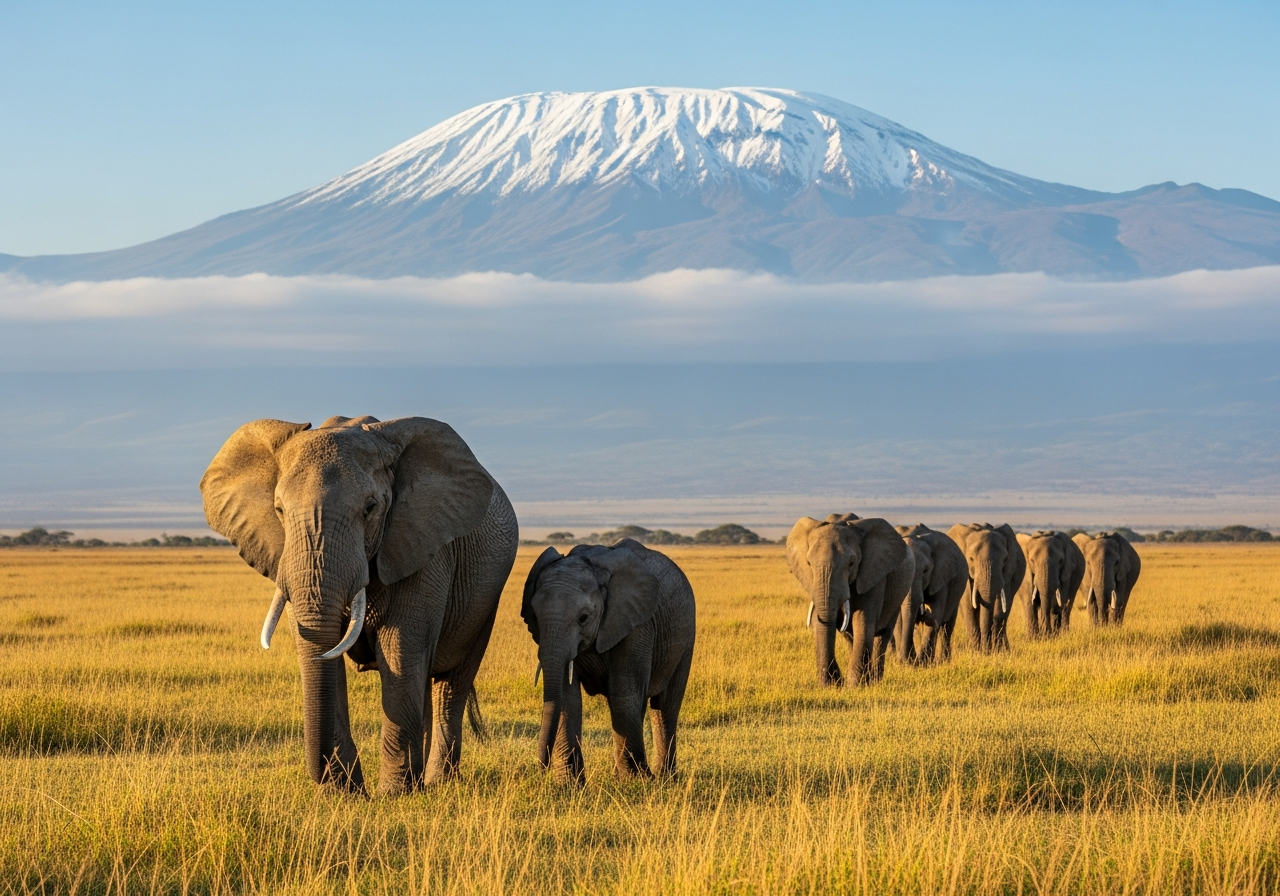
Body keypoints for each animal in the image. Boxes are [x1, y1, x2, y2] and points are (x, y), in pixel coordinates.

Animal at [200, 415, 518, 795]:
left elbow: (400, 651)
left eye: (370, 508)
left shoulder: (422, 546)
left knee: (450, 685)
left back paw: (437, 784)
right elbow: (323, 658)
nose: (327, 779)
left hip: (485, 600)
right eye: (278, 510)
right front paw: (341, 794)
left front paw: (393, 795)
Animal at [521, 538, 696, 784]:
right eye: (534, 616)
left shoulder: (637, 625)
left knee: (665, 706)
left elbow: (624, 693)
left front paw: (637, 783)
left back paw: (664, 779)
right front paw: (568, 786)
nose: (541, 769)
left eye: (583, 618)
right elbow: (568, 697)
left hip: (686, 634)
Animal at [787, 514, 912, 686]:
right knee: (849, 636)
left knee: (882, 635)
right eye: (809, 563)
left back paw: (874, 681)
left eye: (851, 563)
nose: (833, 681)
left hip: (898, 595)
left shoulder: (873, 575)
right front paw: (837, 685)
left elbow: (863, 622)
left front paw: (855, 685)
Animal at [892, 524, 969, 664]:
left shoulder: (940, 577)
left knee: (947, 627)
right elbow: (898, 620)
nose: (923, 613)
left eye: (925, 571)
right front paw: (906, 663)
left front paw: (922, 663)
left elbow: (936, 612)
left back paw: (944, 660)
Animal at [947, 523, 1026, 652]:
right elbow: (968, 604)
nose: (986, 650)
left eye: (1005, 560)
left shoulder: (1009, 571)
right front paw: (976, 652)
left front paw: (997, 652)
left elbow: (1001, 605)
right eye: (971, 559)